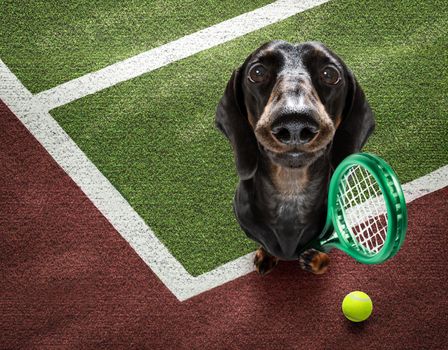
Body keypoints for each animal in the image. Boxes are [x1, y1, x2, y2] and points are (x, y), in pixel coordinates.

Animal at [214, 41, 374, 274]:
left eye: (330, 74)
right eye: (257, 72)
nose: (295, 124)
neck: (291, 193)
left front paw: (316, 260)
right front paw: (266, 255)